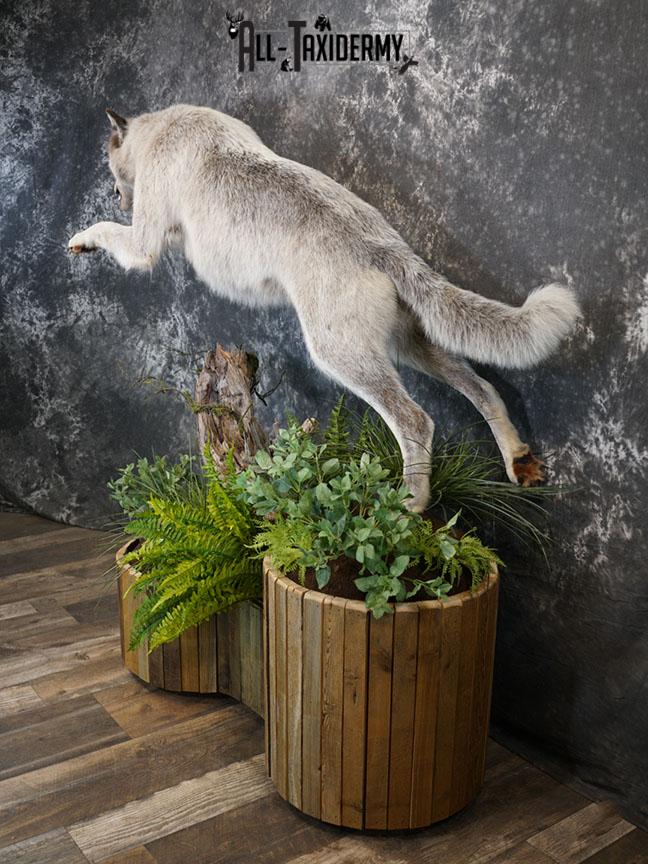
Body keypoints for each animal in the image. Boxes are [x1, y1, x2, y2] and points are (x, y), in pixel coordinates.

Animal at [69, 104, 580, 512]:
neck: (161, 129)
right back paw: (517, 460)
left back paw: (410, 504)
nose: (115, 195)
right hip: (408, 347)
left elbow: (107, 230)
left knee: (416, 419)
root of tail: (383, 245)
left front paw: (81, 240)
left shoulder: (142, 243)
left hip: (340, 357)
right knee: (483, 388)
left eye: (110, 167)